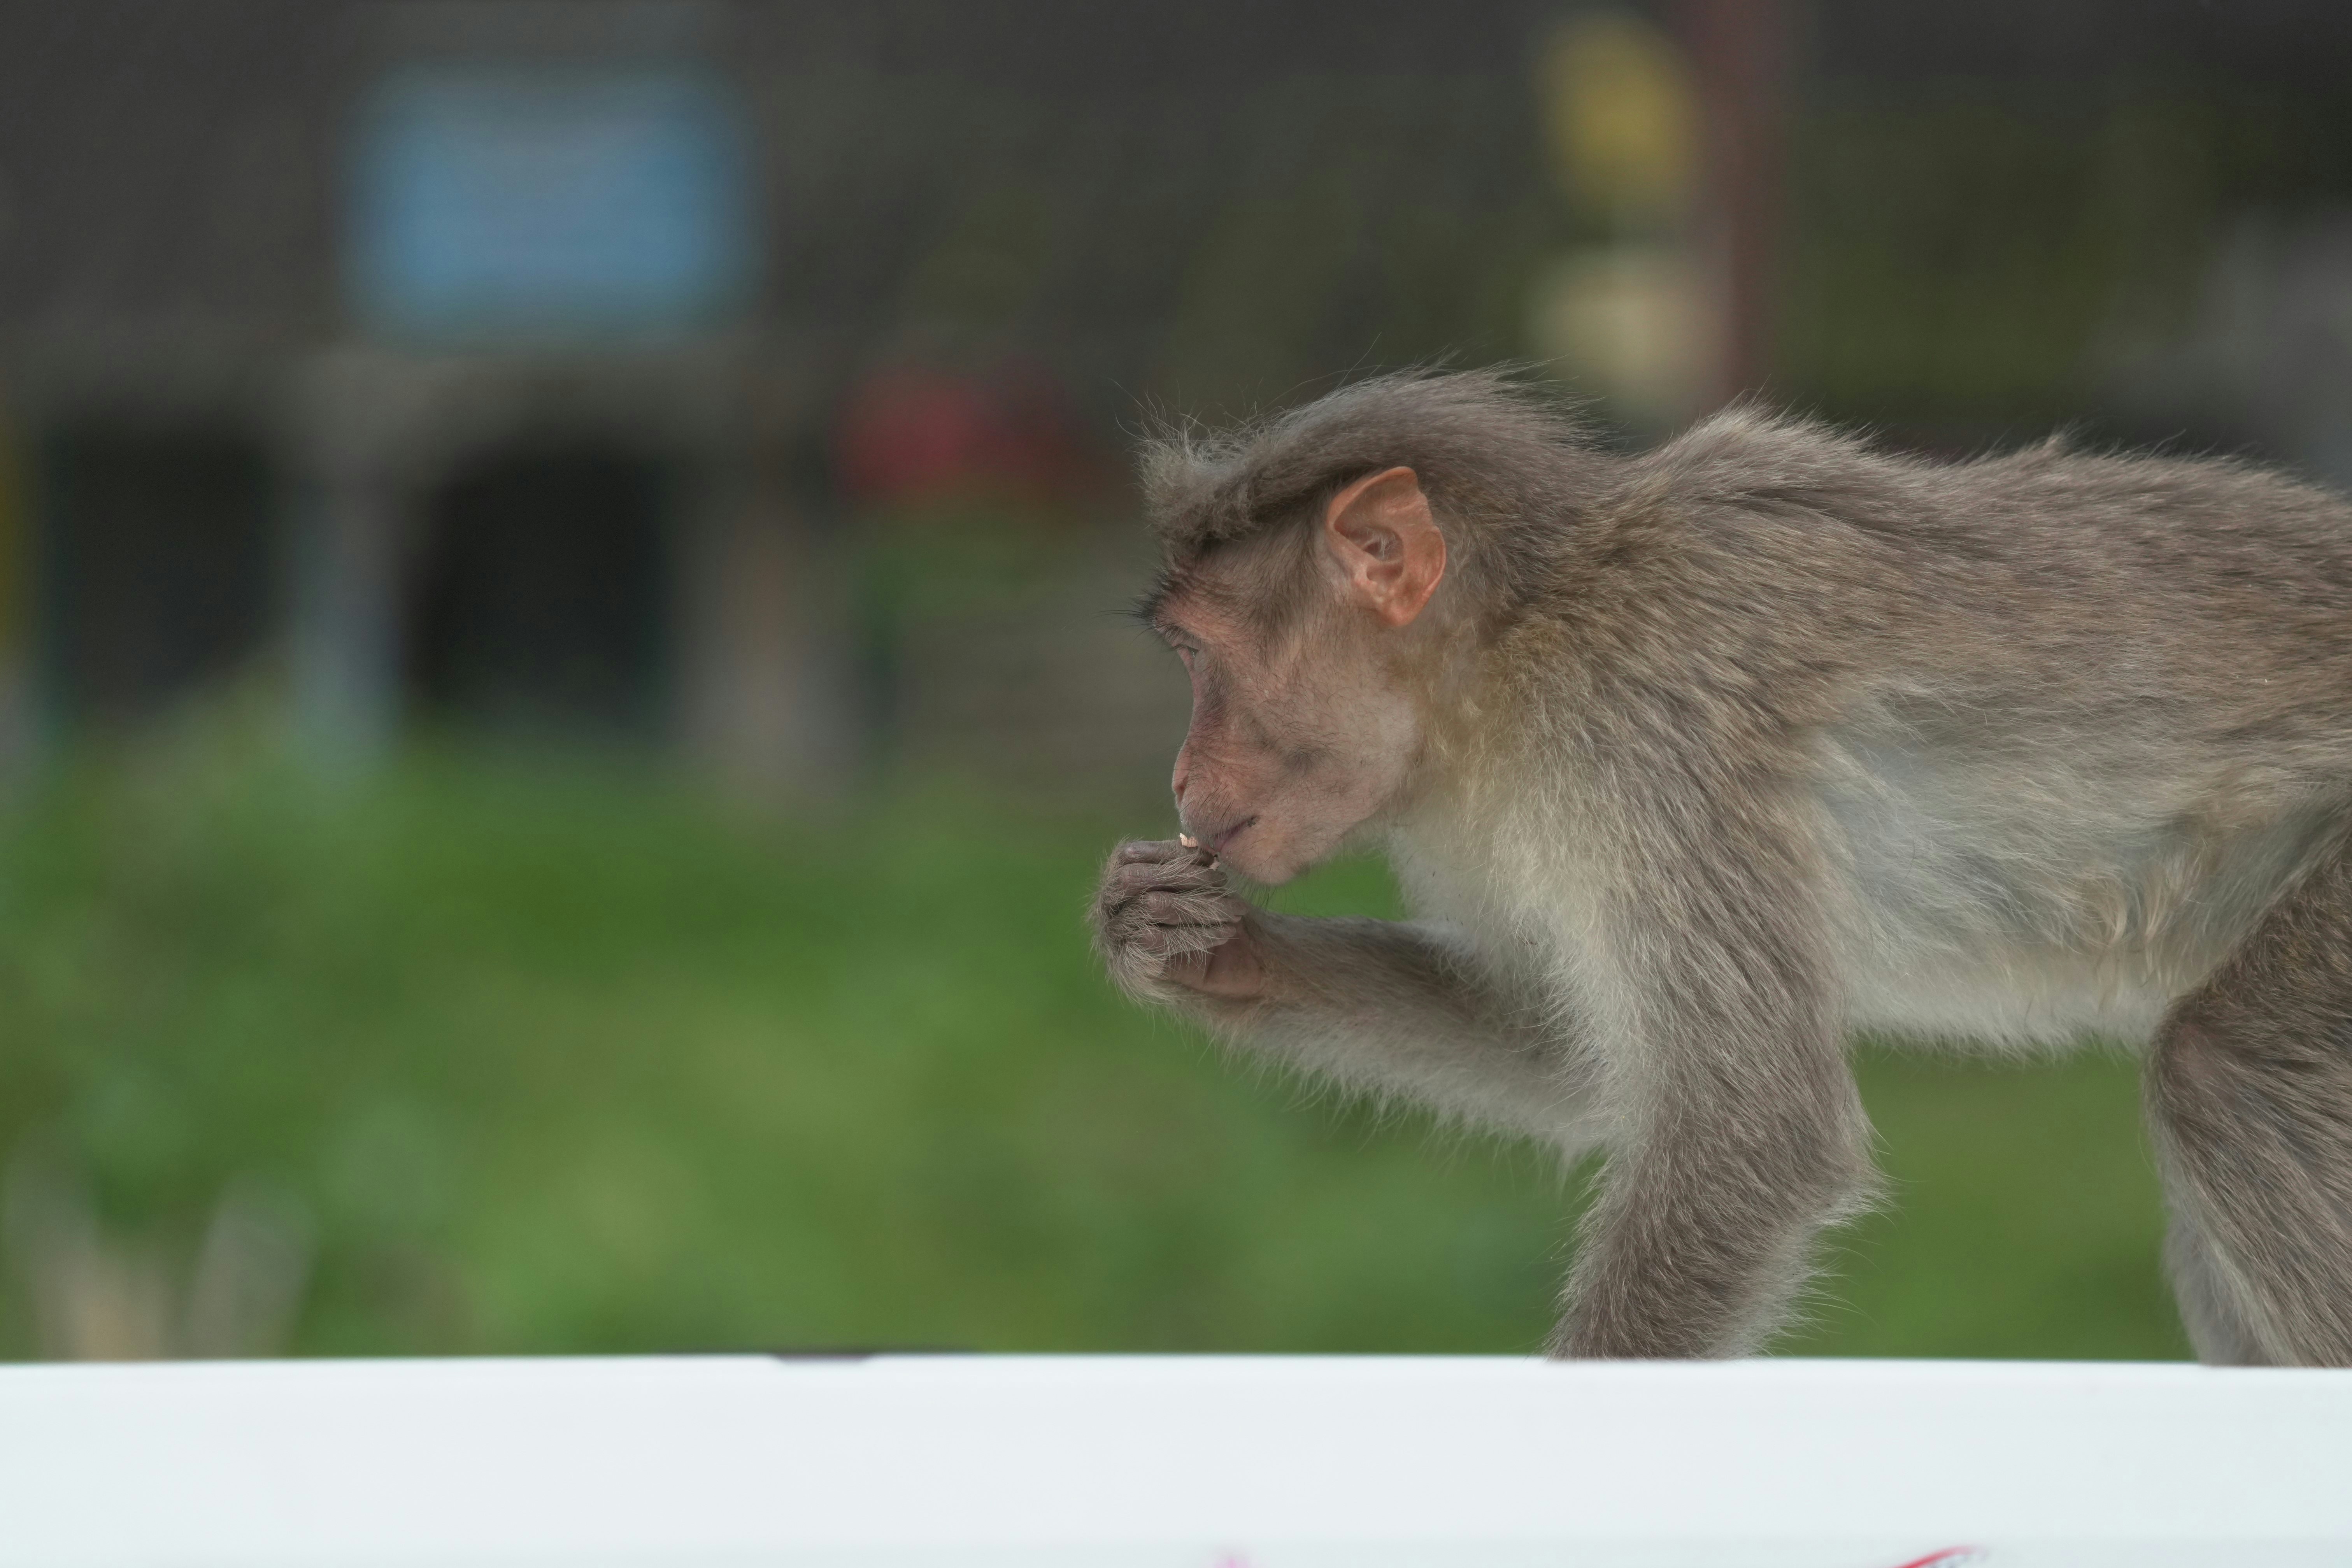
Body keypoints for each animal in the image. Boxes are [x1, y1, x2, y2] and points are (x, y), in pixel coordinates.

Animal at [1089, 368, 2352, 1365]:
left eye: (1198, 656)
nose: (1181, 775)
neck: (1505, 647)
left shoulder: (1633, 733)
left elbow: (1749, 1129)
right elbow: (1564, 1054)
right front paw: (1204, 944)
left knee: (2222, 1073)